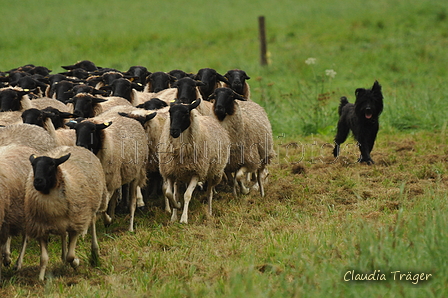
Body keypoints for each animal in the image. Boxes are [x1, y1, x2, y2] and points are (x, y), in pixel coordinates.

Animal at [25, 146, 109, 280]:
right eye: (33, 165)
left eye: (52, 164)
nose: (38, 181)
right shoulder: (40, 228)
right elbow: (43, 258)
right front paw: (41, 278)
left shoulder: (76, 225)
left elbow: (71, 255)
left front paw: (76, 262)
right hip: (63, 223)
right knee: (63, 235)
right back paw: (63, 260)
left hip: (92, 206)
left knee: (92, 224)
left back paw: (95, 254)